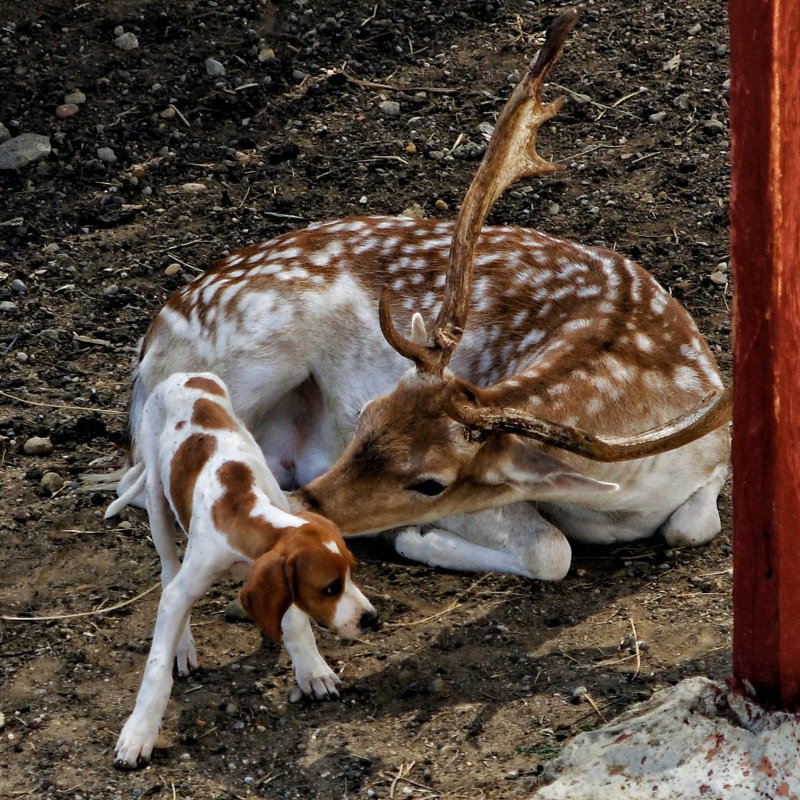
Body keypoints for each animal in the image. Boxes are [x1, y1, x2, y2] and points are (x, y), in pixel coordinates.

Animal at [104, 374, 376, 768]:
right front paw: (139, 732)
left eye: (353, 573)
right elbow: (156, 667)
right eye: (329, 588)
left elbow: (295, 622)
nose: (373, 619)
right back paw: (182, 646)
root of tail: (184, 376)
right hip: (156, 497)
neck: (243, 507)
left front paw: (312, 669)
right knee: (168, 573)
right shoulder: (190, 581)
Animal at [123, 9, 732, 580]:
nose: (307, 503)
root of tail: (151, 342)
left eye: (431, 482)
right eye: (363, 417)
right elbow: (551, 549)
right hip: (251, 359)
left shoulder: (715, 460)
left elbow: (693, 524)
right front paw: (414, 538)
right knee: (147, 484)